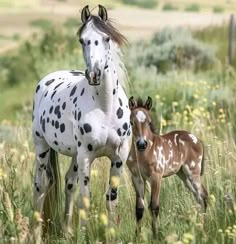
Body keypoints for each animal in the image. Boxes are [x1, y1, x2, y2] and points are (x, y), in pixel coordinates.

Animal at [31, 4, 131, 232]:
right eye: (82, 40)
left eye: (107, 38)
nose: (94, 74)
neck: (105, 108)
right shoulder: (86, 156)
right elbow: (86, 199)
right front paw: (85, 234)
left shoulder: (119, 157)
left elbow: (111, 199)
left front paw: (111, 233)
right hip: (42, 148)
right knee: (40, 186)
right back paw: (36, 233)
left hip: (74, 156)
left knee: (69, 183)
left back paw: (67, 231)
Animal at [126, 96, 207, 236]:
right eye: (131, 122)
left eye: (149, 122)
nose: (141, 144)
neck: (143, 155)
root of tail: (196, 139)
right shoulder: (137, 177)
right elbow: (139, 209)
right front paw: (137, 237)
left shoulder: (156, 177)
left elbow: (154, 207)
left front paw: (156, 235)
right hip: (183, 175)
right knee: (198, 197)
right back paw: (199, 227)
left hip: (193, 172)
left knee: (203, 196)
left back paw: (204, 228)